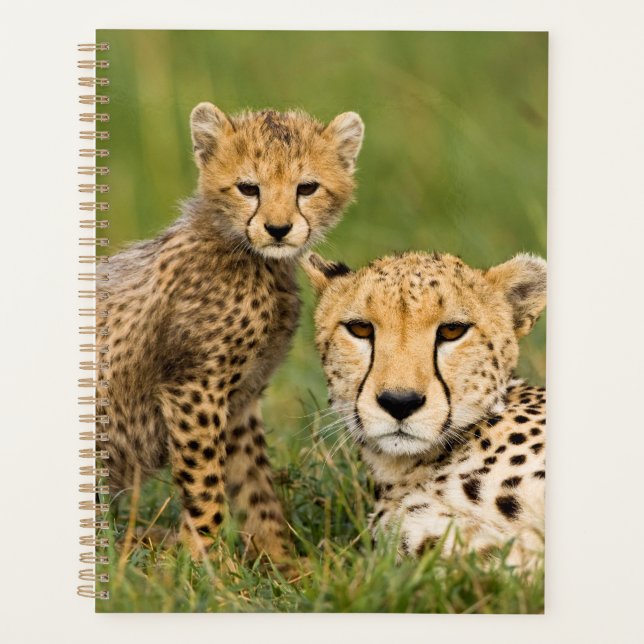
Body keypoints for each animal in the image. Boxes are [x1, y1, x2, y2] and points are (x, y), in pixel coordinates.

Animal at [96, 102, 364, 563]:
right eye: (248, 188)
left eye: (307, 187)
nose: (278, 229)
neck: (251, 258)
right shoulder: (194, 389)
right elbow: (206, 485)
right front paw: (206, 566)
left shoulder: (240, 399)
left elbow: (256, 488)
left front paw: (281, 562)